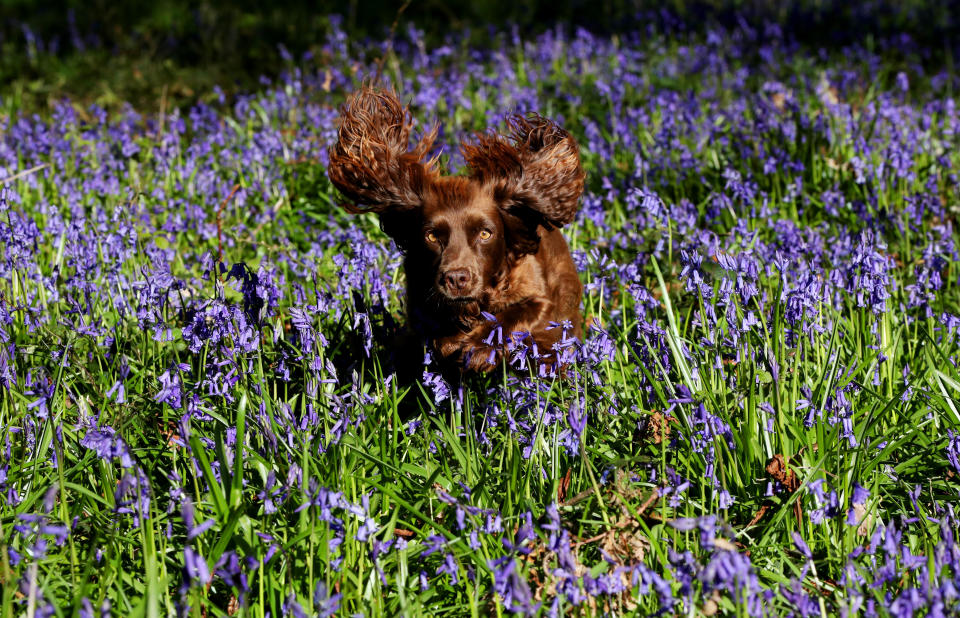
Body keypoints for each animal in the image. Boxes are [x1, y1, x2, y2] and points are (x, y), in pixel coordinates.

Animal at [328, 88, 584, 370]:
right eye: (431, 236)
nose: (457, 279)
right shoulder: (419, 306)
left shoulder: (542, 301)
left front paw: (480, 347)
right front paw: (454, 341)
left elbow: (517, 313)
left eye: (485, 233)